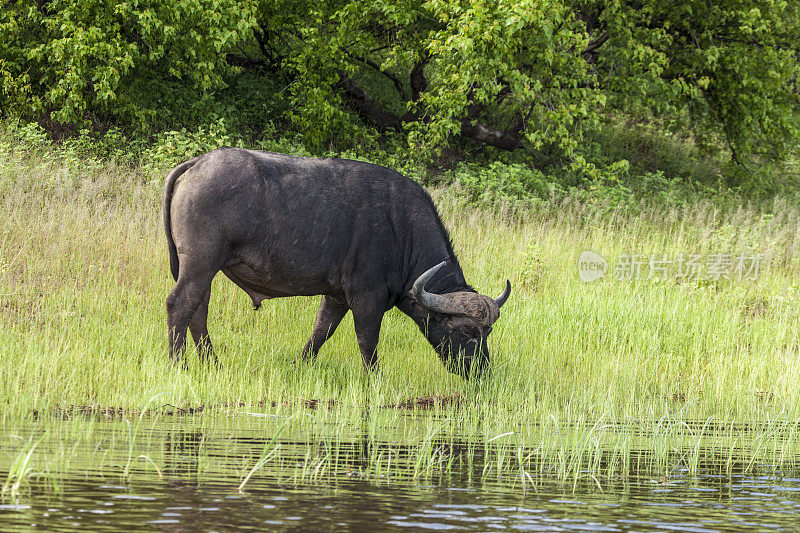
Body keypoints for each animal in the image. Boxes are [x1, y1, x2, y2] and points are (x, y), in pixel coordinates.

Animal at [163, 148, 512, 376]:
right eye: (467, 332)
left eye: (488, 333)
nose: (482, 371)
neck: (400, 229)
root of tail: (197, 163)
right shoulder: (366, 297)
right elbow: (367, 340)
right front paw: (375, 378)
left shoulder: (336, 296)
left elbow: (322, 331)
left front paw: (299, 366)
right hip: (201, 263)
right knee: (180, 305)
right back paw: (179, 365)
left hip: (204, 269)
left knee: (198, 311)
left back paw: (212, 364)